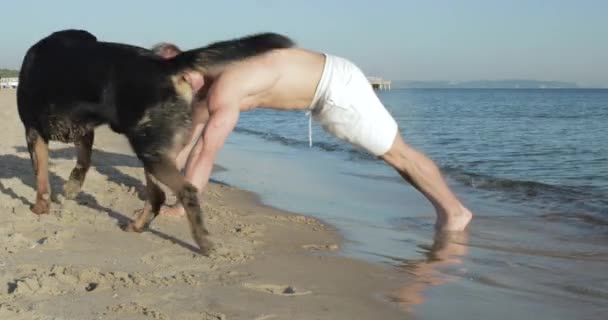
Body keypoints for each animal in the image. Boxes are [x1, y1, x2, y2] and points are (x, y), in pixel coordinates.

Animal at [16, 30, 294, 255]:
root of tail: (166, 66)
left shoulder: (33, 132)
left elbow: (41, 177)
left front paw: (40, 207)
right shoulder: (84, 132)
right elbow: (81, 163)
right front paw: (72, 187)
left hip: (150, 152)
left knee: (184, 191)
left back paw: (203, 242)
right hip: (155, 151)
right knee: (158, 196)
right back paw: (138, 226)